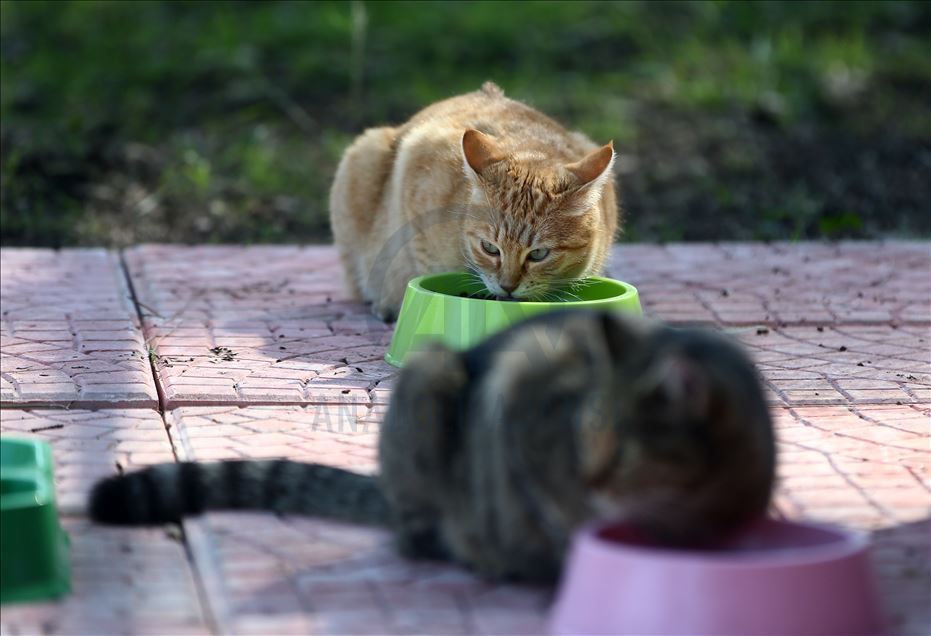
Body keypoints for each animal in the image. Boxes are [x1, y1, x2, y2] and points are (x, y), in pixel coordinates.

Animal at [91, 310, 776, 584]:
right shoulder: (523, 399)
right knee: (420, 537)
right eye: (585, 435)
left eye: (629, 450)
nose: (592, 482)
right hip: (429, 378)